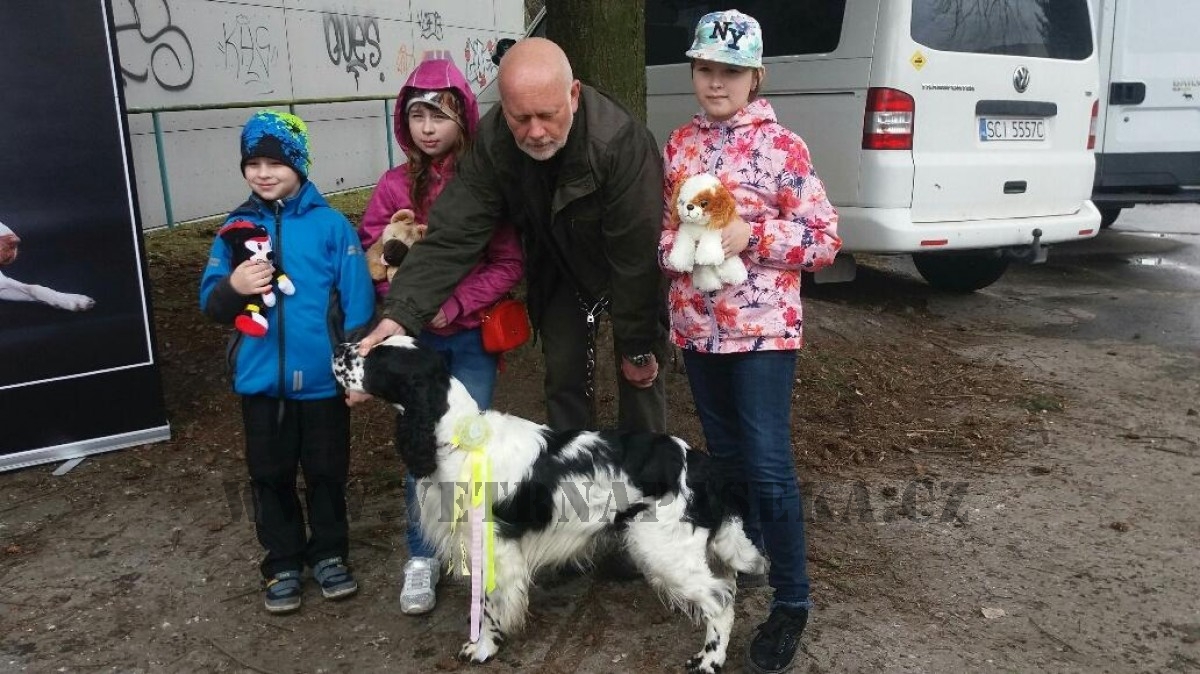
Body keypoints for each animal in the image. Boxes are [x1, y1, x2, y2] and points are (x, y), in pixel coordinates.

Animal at [333, 336, 767, 673]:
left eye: (376, 358)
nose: (337, 347)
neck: (460, 437)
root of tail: (698, 462)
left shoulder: (495, 548)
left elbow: (490, 606)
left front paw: (483, 648)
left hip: (662, 548)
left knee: (720, 600)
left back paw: (709, 660)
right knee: (726, 584)